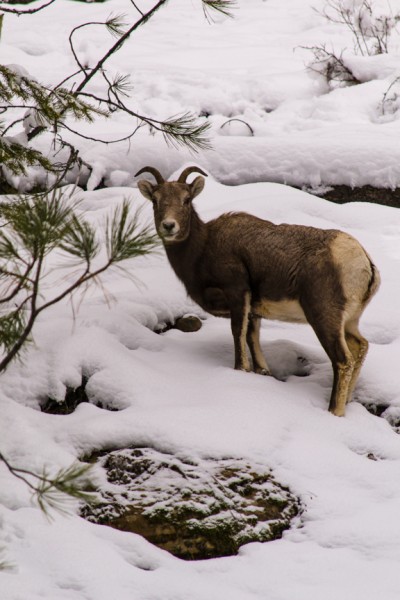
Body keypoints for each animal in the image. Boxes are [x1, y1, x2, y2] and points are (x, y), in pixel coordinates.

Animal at [136, 166, 380, 414]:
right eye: (155, 200)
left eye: (186, 199)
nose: (169, 226)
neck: (203, 249)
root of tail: (363, 262)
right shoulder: (254, 311)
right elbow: (253, 340)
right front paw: (262, 372)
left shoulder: (237, 293)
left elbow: (238, 333)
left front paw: (240, 369)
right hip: (349, 322)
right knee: (361, 347)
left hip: (324, 318)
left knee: (343, 360)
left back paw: (333, 411)